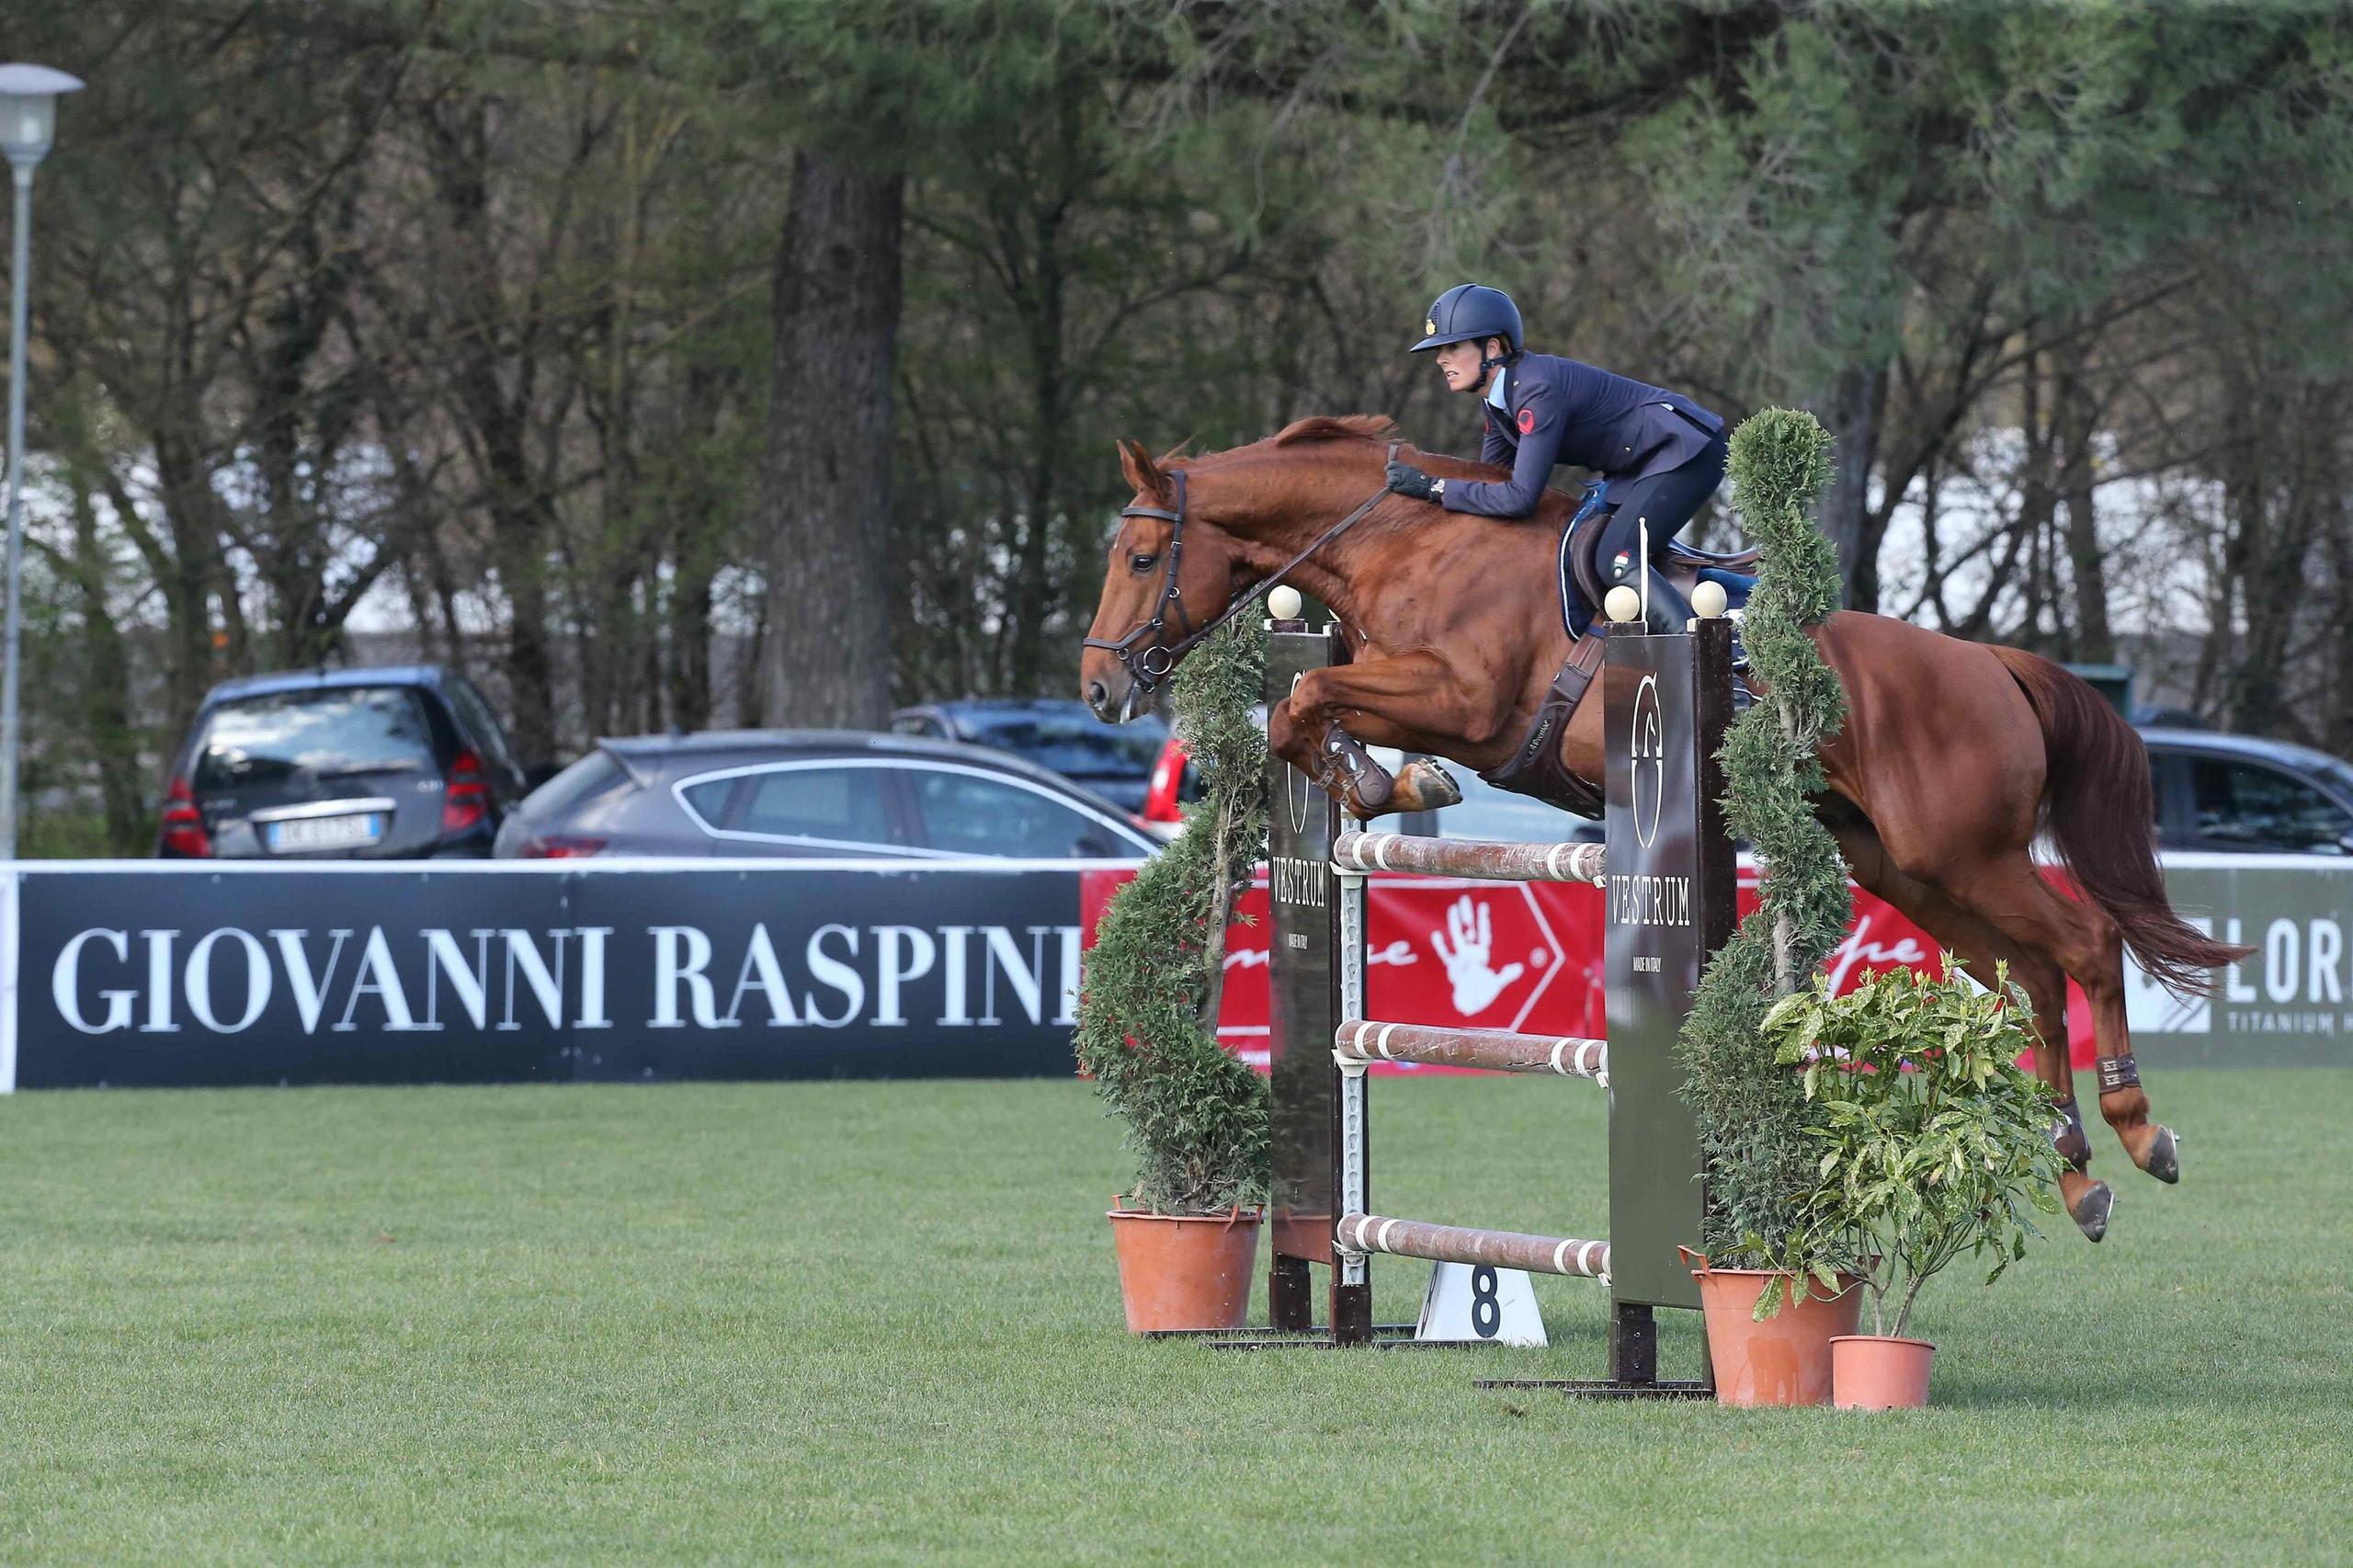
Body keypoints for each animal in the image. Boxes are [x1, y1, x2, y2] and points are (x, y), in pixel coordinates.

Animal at [1082, 412, 2240, 1233]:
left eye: (1138, 561)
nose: (1100, 688)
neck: (1401, 541)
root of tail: (1989, 662)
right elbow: (1304, 706)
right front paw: (1383, 783)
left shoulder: (1463, 701)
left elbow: (1306, 699)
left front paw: (1385, 786)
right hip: (1907, 866)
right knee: (2033, 974)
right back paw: (2077, 1174)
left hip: (1961, 850)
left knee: (2084, 942)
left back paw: (2140, 1132)